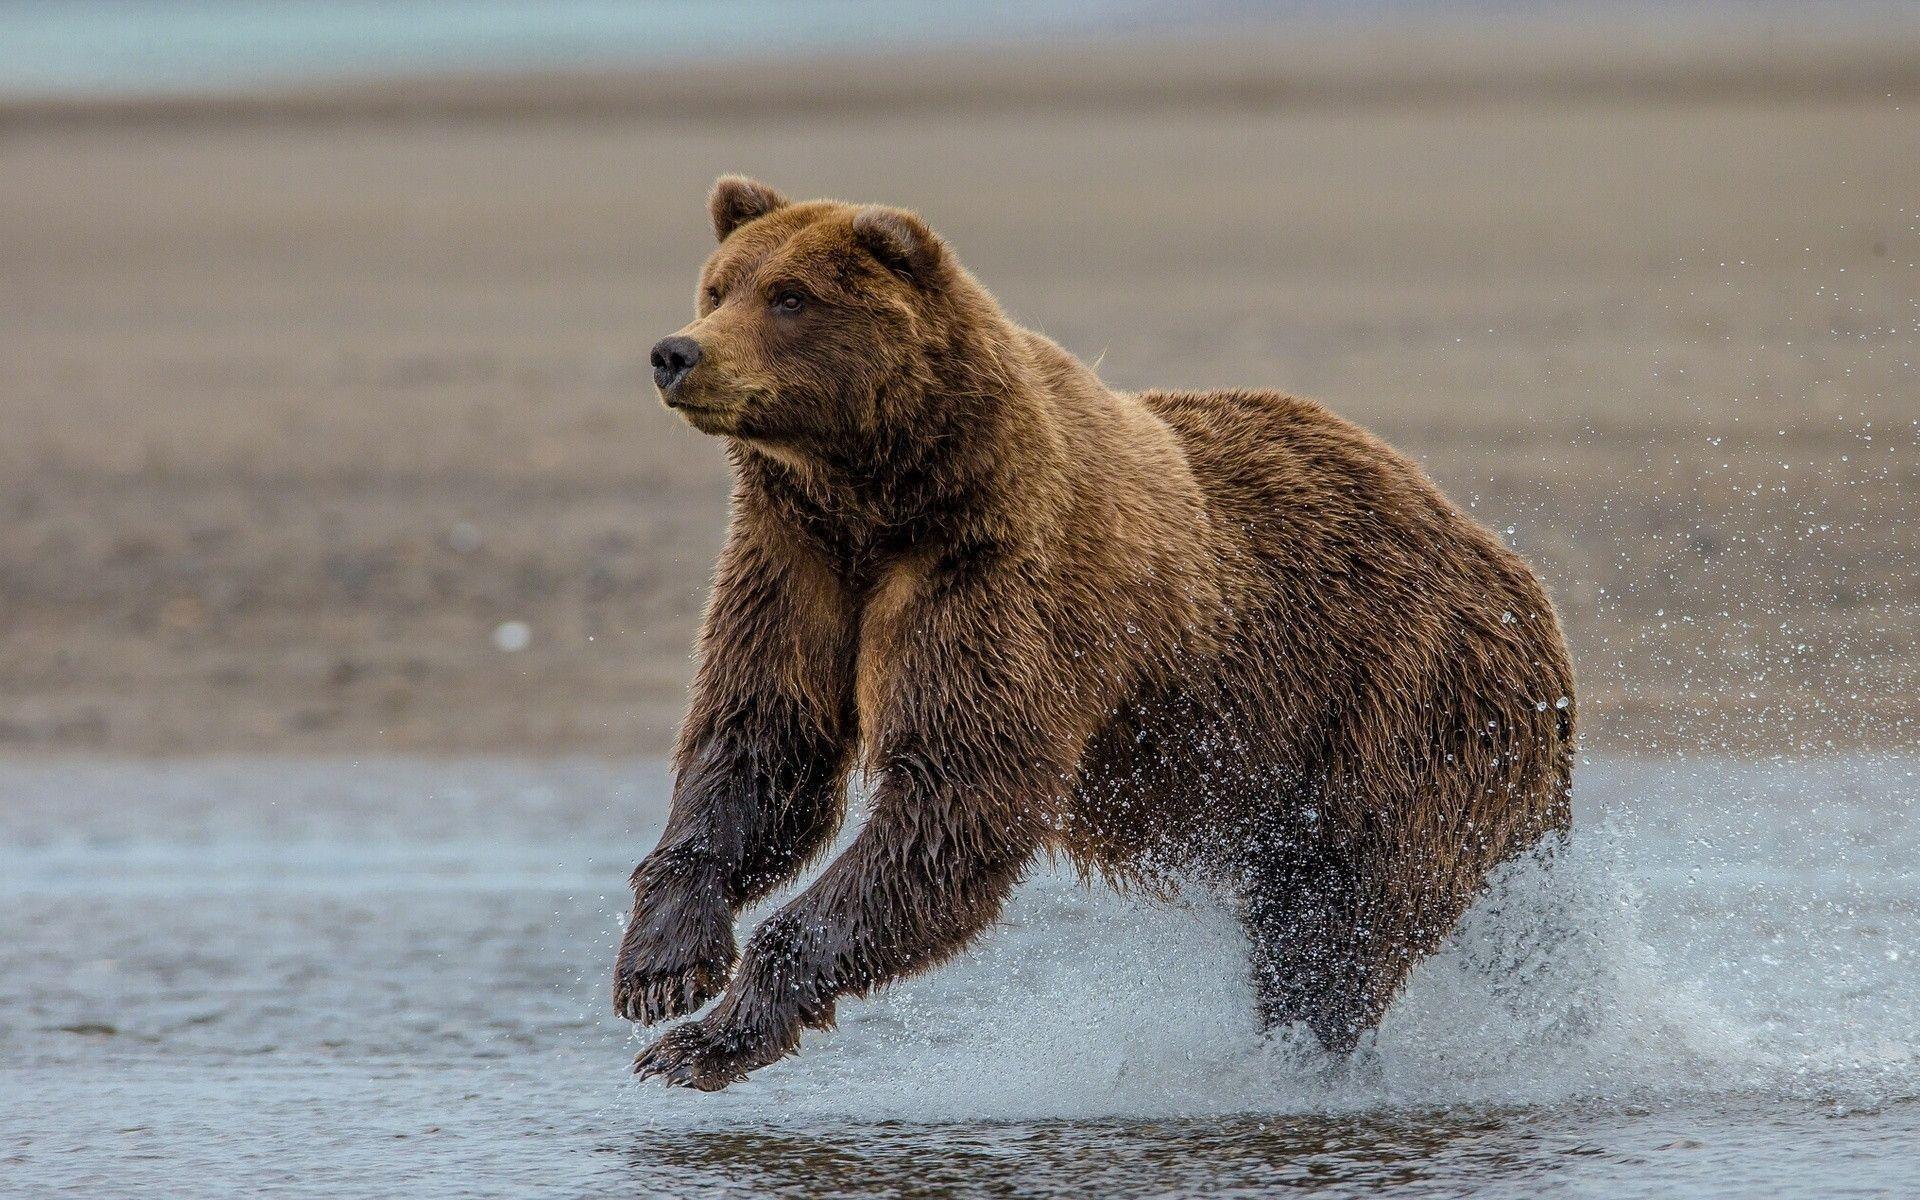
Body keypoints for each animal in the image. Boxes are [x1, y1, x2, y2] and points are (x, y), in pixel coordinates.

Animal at [615, 176, 1576, 1090]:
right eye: (717, 286)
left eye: (790, 297)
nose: (676, 352)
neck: (878, 499)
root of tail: (1517, 579)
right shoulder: (793, 566)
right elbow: (760, 748)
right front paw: (662, 967)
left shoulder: (998, 579)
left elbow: (955, 792)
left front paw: (702, 1042)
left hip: (1401, 711)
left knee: (1337, 927)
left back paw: (1307, 1059)